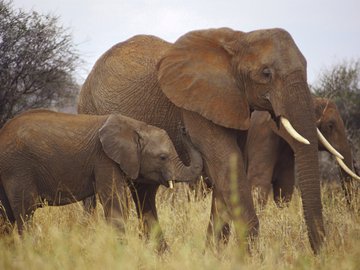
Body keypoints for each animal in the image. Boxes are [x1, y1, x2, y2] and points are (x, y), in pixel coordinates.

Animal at [0, 108, 202, 233]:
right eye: (163, 157)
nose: (183, 127)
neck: (135, 126)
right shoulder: (104, 159)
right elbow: (115, 203)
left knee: (6, 218)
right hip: (18, 168)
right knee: (24, 213)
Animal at [79, 27, 330, 253]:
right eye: (266, 73)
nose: (320, 254)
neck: (238, 40)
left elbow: (228, 170)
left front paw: (212, 256)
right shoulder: (195, 107)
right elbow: (227, 163)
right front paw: (252, 257)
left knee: (145, 192)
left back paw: (160, 254)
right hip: (90, 113)